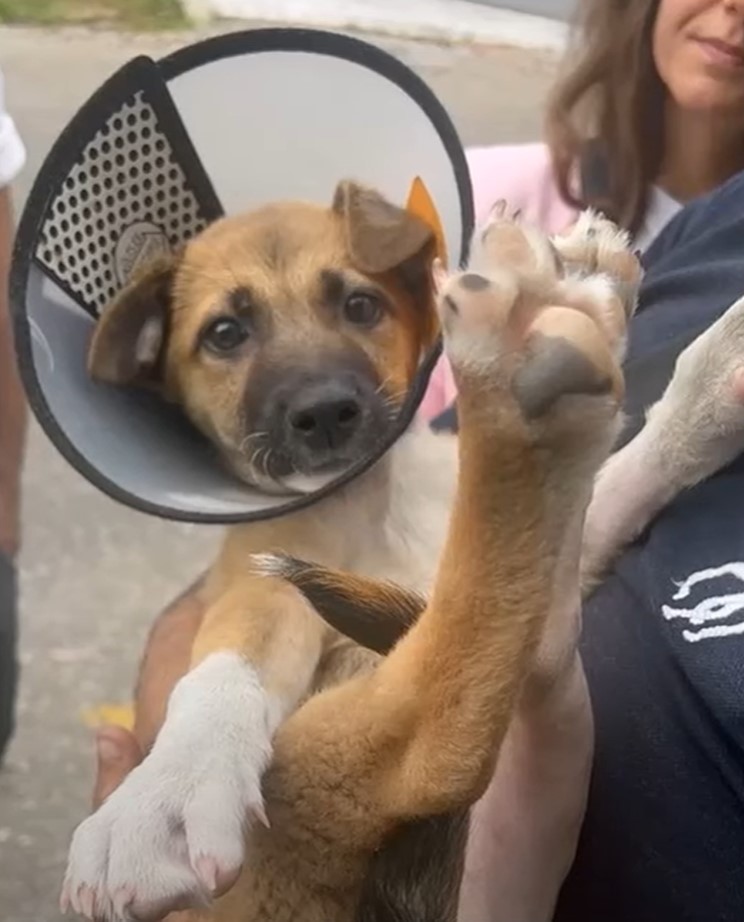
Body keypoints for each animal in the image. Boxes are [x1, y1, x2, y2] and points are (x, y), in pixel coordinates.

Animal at [61, 192, 644, 920]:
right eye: (225, 334)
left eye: (360, 306)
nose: (325, 412)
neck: (376, 501)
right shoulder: (260, 586)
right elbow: (223, 667)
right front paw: (164, 791)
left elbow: (632, 477)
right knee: (432, 732)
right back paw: (517, 368)